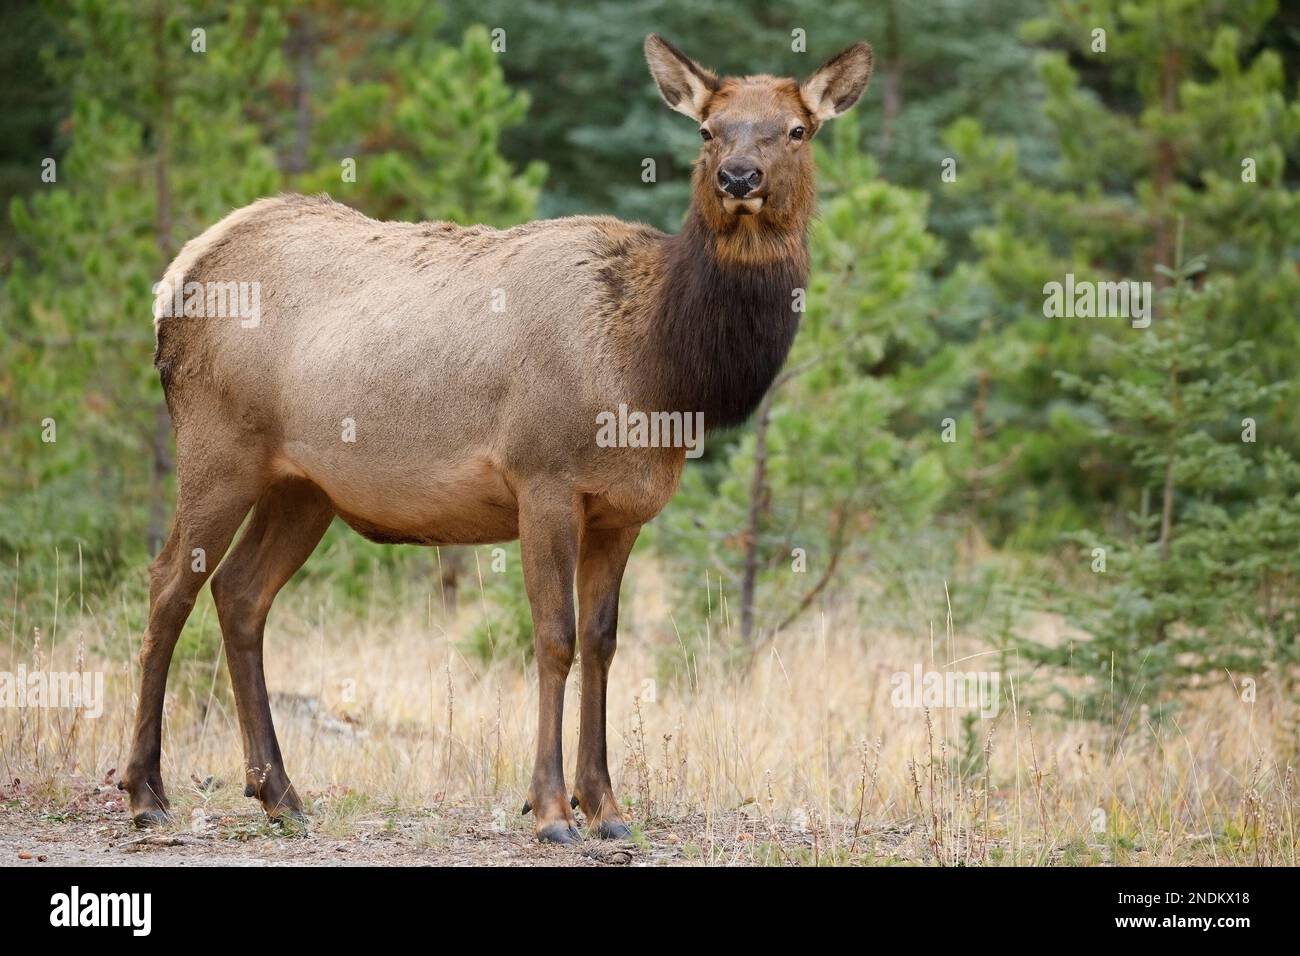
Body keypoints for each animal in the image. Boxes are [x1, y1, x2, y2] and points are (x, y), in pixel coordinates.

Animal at [121, 34, 873, 843]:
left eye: (797, 130)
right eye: (707, 129)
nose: (739, 177)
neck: (662, 372)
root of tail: (177, 278)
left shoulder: (624, 509)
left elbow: (604, 642)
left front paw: (607, 806)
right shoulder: (543, 478)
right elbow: (554, 637)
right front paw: (550, 809)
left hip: (304, 486)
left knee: (240, 591)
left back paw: (280, 793)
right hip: (218, 446)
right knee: (168, 583)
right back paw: (146, 791)